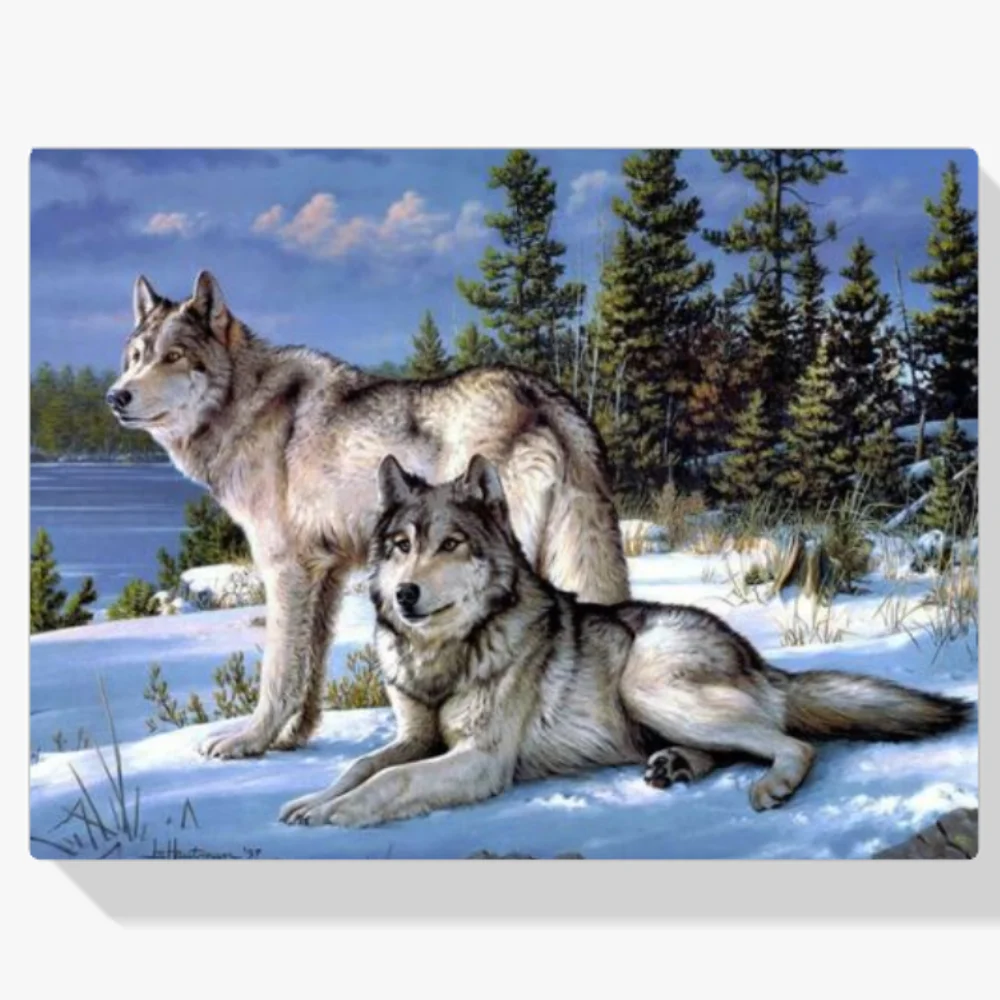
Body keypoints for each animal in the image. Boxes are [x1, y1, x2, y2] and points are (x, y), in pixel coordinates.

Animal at [107, 272, 629, 759]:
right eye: (135, 357)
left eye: (173, 356)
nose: (116, 396)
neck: (243, 404)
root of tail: (544, 396)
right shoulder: (327, 573)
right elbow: (311, 668)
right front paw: (293, 738)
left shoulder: (284, 570)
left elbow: (278, 672)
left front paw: (249, 741)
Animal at [279, 455, 970, 827]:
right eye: (401, 546)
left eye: (450, 544)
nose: (405, 595)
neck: (445, 656)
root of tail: (756, 657)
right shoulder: (416, 737)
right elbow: (361, 766)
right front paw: (311, 800)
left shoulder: (481, 759)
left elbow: (391, 782)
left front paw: (336, 813)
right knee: (736, 747)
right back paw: (676, 766)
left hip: (648, 686)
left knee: (793, 744)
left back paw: (769, 785)